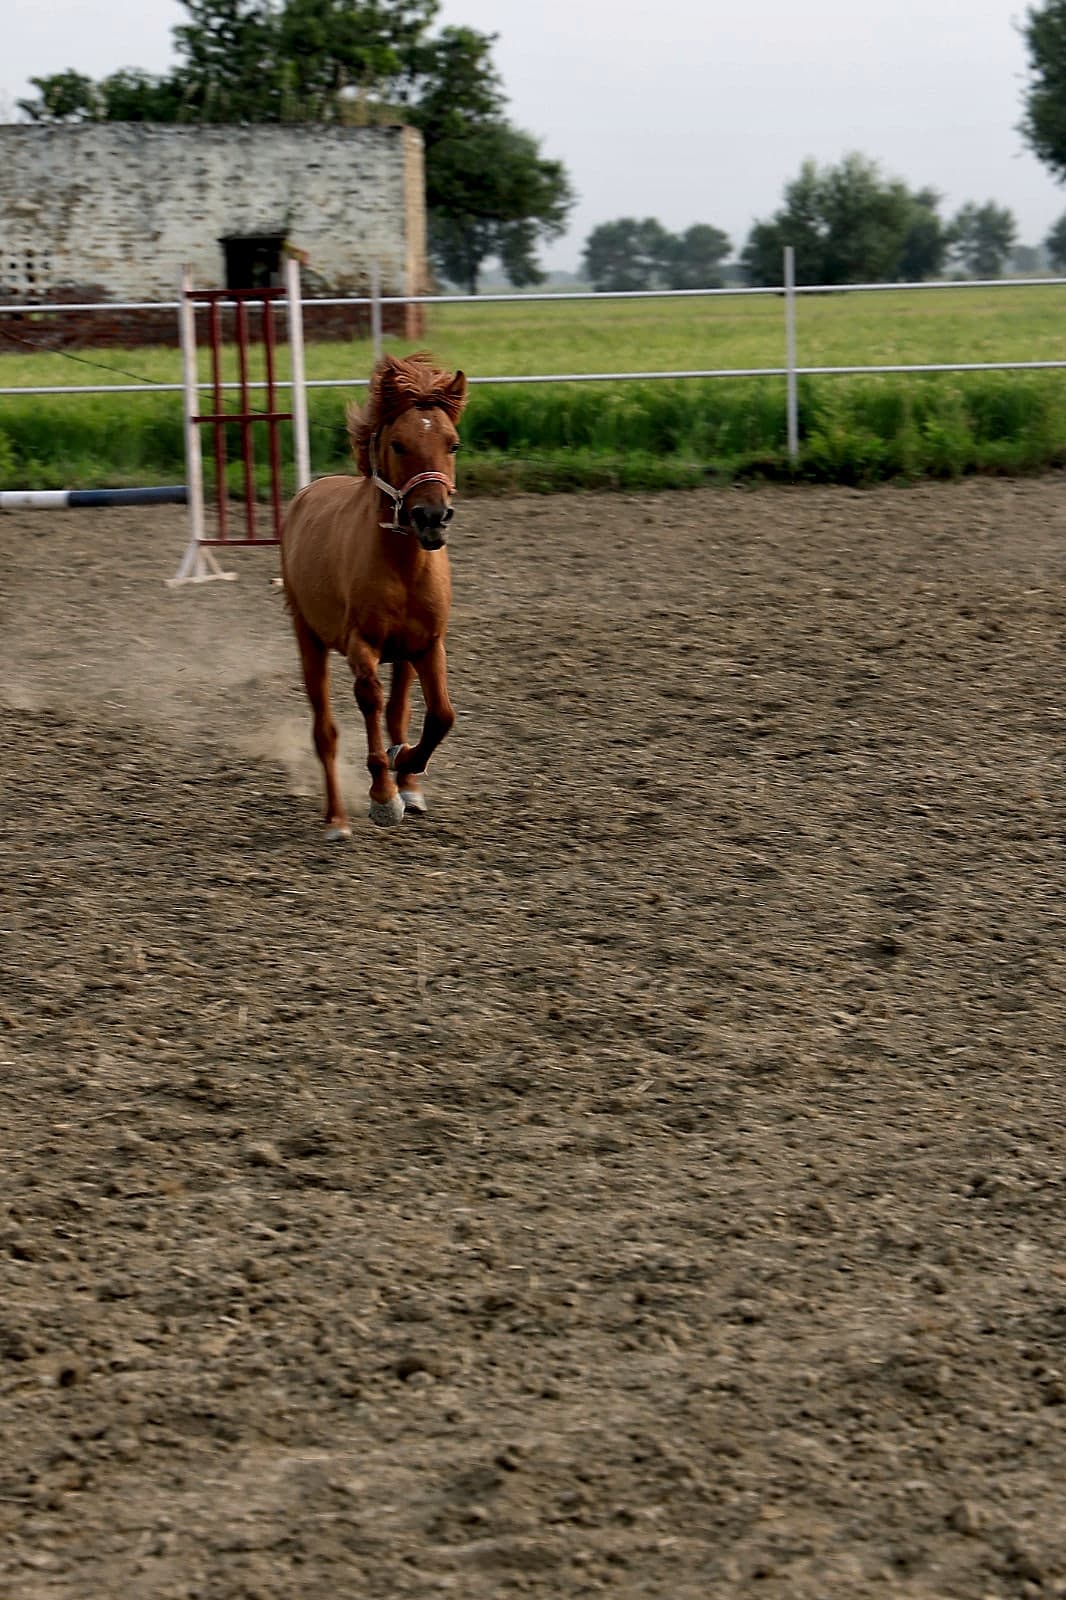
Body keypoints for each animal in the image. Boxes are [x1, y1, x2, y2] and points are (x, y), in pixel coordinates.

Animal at [280, 351, 468, 839]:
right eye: (399, 444)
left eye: (453, 444)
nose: (433, 517)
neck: (401, 564)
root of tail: (307, 493)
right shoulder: (360, 645)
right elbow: (368, 700)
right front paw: (383, 796)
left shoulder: (427, 645)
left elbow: (440, 715)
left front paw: (407, 768)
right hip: (308, 638)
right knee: (325, 731)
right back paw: (336, 819)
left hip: (402, 655)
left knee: (399, 711)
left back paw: (409, 784)